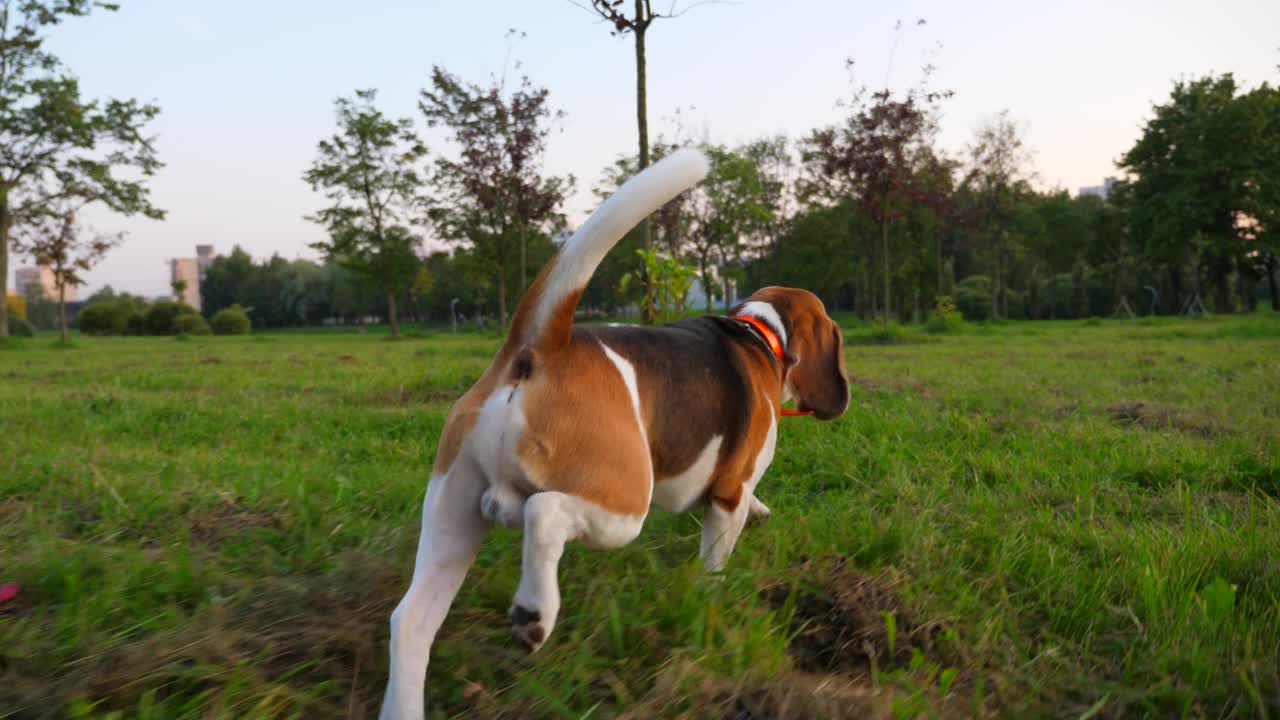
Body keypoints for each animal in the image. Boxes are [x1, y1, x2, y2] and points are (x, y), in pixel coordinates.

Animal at [384, 148, 855, 712]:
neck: (760, 335)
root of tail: (539, 348)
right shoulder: (728, 493)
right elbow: (718, 552)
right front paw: (712, 594)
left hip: (451, 512)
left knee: (410, 621)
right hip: (625, 501)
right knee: (542, 513)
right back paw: (533, 613)